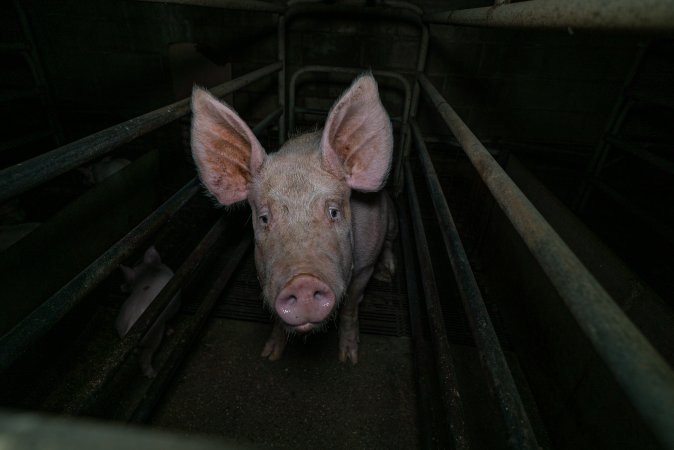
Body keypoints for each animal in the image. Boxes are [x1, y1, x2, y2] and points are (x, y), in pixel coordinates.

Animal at [115, 246, 181, 376]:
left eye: (130, 282)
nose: (121, 287)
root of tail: (129, 324)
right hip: (153, 336)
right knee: (145, 356)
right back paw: (152, 373)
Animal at [189, 73, 394, 362]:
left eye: (333, 212)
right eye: (264, 218)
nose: (303, 282)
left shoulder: (364, 267)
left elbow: (350, 306)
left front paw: (349, 358)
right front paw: (269, 354)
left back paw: (388, 274)